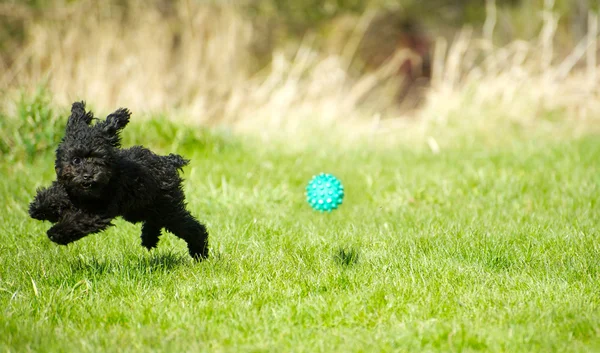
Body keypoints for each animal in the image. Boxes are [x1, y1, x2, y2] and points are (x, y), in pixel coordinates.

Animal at [29, 102, 210, 258]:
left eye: (100, 159)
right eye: (76, 160)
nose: (88, 175)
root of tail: (168, 161)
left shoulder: (96, 211)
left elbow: (76, 221)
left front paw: (56, 233)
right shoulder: (70, 189)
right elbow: (56, 193)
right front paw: (39, 207)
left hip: (167, 208)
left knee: (191, 227)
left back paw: (199, 253)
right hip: (143, 208)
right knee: (155, 221)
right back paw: (149, 239)